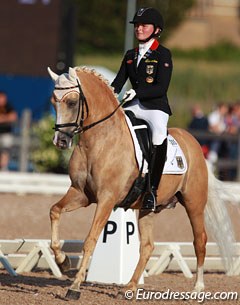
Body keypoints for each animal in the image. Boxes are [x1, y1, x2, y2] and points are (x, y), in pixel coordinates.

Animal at [47, 66, 235, 300]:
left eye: (72, 102)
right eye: (53, 101)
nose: (61, 141)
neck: (99, 140)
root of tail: (194, 144)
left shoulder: (106, 199)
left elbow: (90, 239)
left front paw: (74, 287)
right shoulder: (81, 193)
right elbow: (55, 211)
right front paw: (62, 262)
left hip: (194, 204)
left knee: (199, 240)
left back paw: (198, 288)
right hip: (148, 209)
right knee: (147, 246)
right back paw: (130, 286)